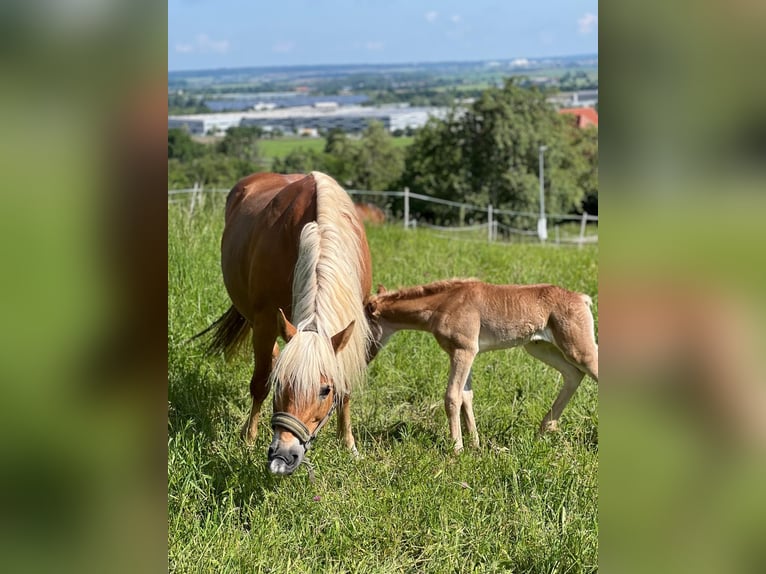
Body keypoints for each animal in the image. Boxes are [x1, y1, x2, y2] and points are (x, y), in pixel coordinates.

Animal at [202, 171, 374, 476]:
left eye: (325, 390)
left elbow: (346, 385)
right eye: (281, 383)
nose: (283, 456)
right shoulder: (266, 319)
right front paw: (248, 440)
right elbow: (260, 383)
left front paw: (349, 445)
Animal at [366, 282, 600, 452]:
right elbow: (466, 396)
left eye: (365, 326)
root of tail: (581, 298)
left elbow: (452, 396)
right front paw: (475, 446)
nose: (366, 357)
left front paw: (457, 449)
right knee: (573, 373)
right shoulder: (464, 353)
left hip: (578, 348)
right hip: (538, 347)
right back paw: (545, 429)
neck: (444, 303)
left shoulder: (464, 350)